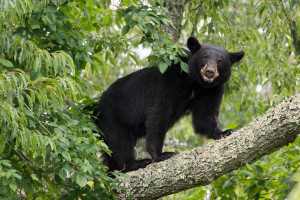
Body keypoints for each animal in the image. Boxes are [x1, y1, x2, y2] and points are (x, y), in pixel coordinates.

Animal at [94, 36, 244, 173]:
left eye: (220, 61)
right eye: (205, 57)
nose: (210, 72)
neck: (196, 83)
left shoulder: (213, 89)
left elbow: (205, 115)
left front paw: (224, 132)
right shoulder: (171, 79)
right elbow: (160, 112)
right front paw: (161, 155)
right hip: (112, 115)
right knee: (119, 140)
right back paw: (135, 163)